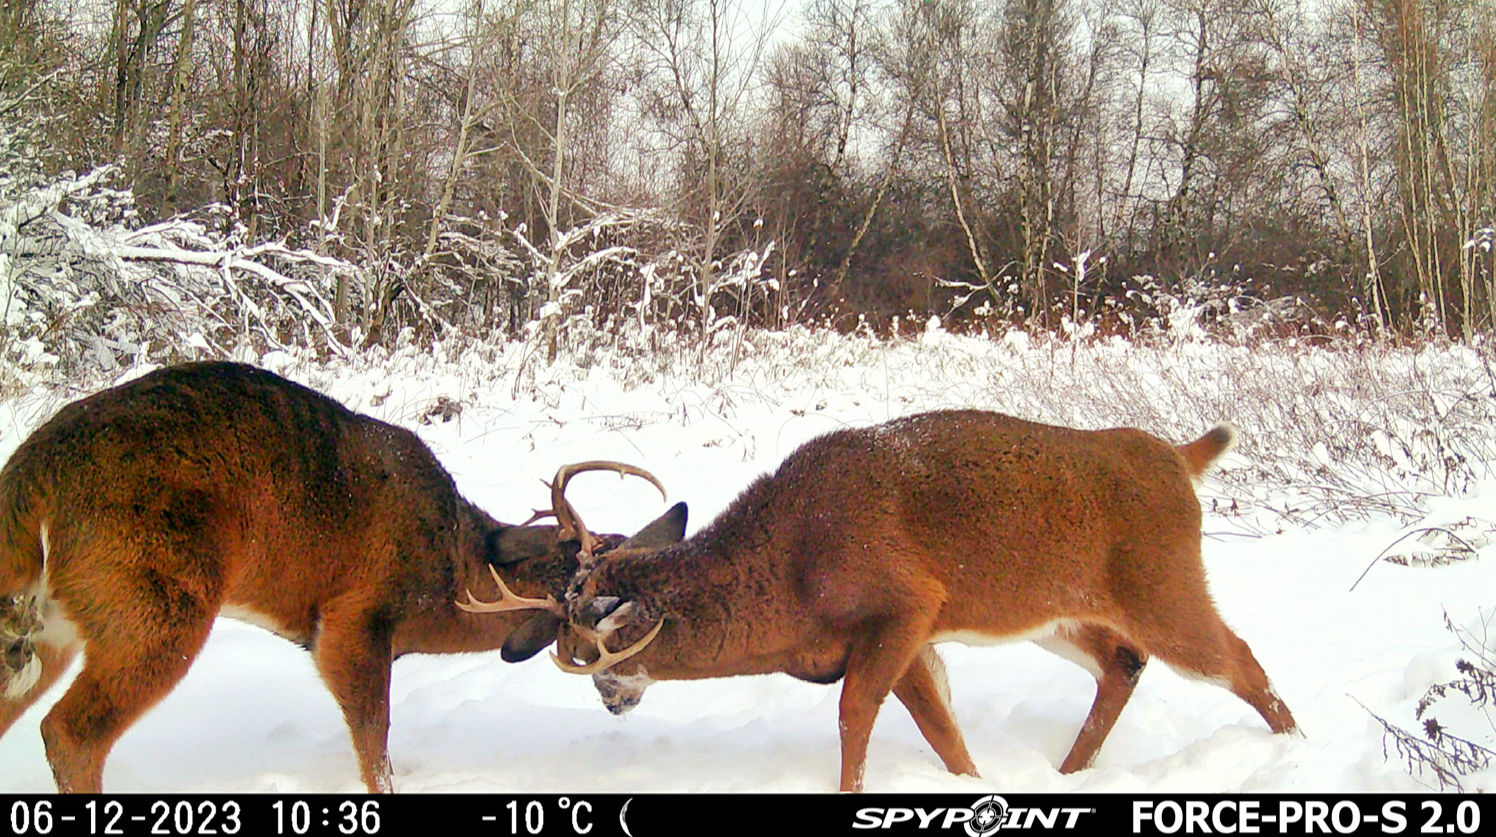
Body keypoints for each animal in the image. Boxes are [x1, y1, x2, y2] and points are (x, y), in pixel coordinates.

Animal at [0, 361, 675, 793]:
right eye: (598, 564)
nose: (626, 697)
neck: (450, 570)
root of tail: (32, 476)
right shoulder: (354, 621)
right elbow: (375, 752)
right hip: (157, 602)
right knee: (69, 733)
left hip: (52, 626)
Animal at [471, 409, 1301, 792]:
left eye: (586, 648)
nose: (611, 699)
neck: (789, 576)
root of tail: (1178, 458)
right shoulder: (905, 636)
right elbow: (944, 734)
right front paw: (977, 785)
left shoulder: (906, 602)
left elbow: (853, 715)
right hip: (1055, 612)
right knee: (1122, 662)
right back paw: (1067, 774)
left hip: (1163, 584)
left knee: (1240, 657)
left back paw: (1295, 748)